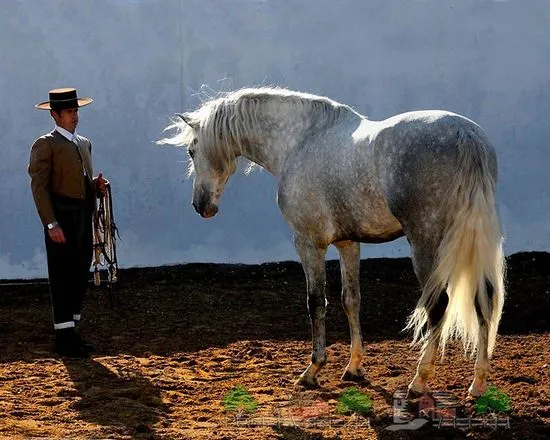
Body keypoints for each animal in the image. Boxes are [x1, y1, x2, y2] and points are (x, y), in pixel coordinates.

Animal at [158, 87, 504, 398]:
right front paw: (354, 367)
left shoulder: (309, 243)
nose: (201, 206)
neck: (298, 142)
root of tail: (466, 136)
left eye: (191, 150)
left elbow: (316, 302)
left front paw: (313, 370)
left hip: (426, 244)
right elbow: (351, 300)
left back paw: (419, 381)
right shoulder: (348, 243)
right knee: (483, 299)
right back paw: (478, 384)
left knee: (438, 306)